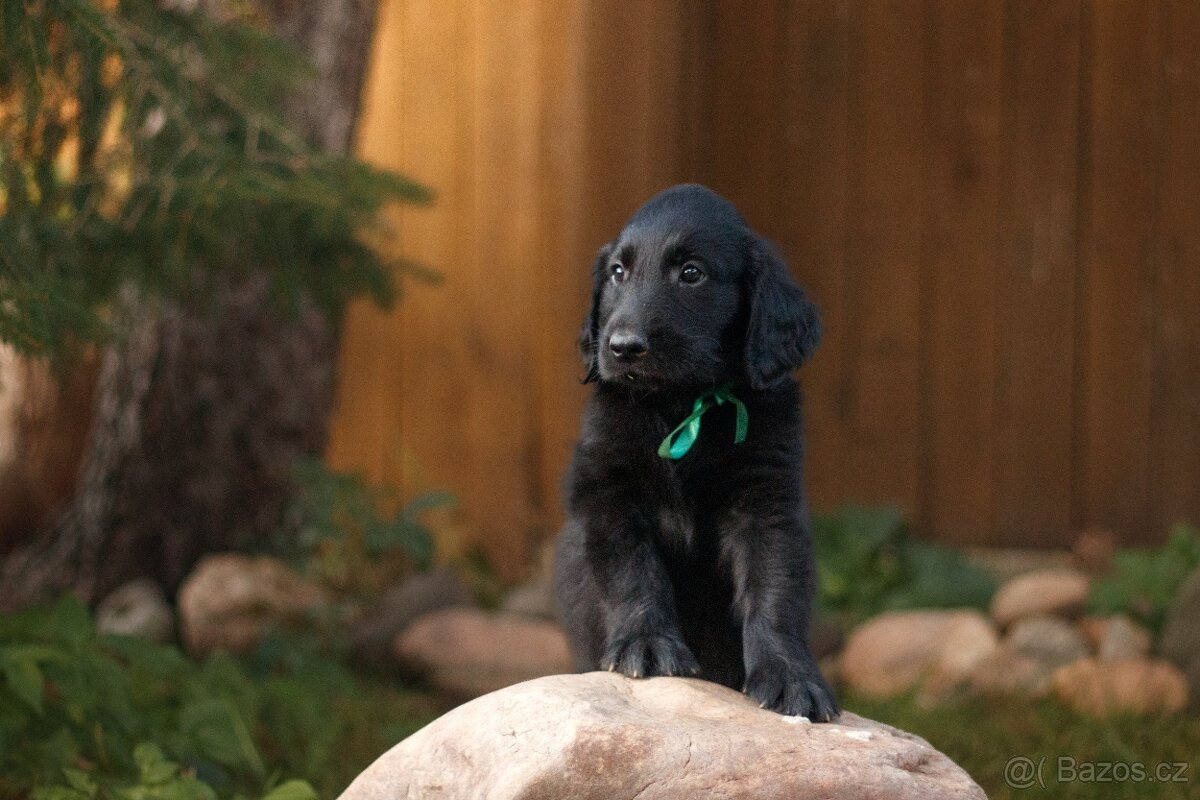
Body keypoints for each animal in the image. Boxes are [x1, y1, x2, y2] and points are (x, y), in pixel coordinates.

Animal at [549, 184, 835, 724]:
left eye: (691, 273)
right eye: (617, 272)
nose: (622, 346)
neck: (680, 403)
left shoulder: (766, 499)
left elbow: (774, 587)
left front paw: (790, 677)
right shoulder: (607, 488)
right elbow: (634, 570)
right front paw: (646, 644)